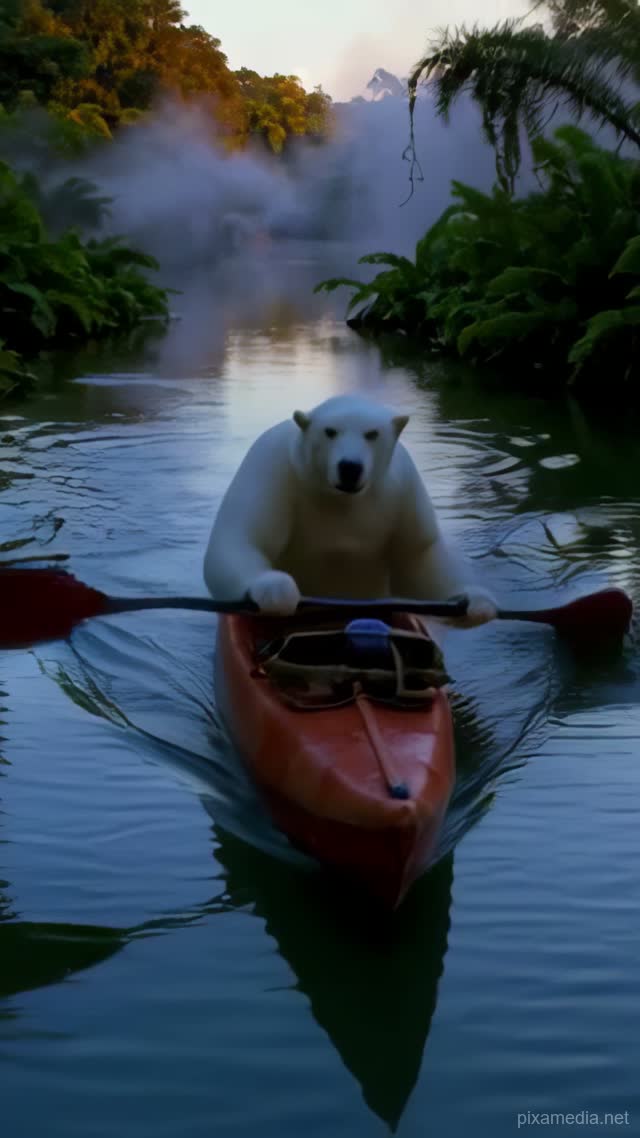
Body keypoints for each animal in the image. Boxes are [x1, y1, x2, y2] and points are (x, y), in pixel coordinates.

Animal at [203, 393, 497, 627]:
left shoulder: (402, 486)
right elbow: (242, 537)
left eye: (372, 433)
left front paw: (475, 602)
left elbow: (419, 556)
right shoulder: (273, 466)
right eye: (330, 431)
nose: (350, 467)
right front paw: (276, 591)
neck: (340, 498)